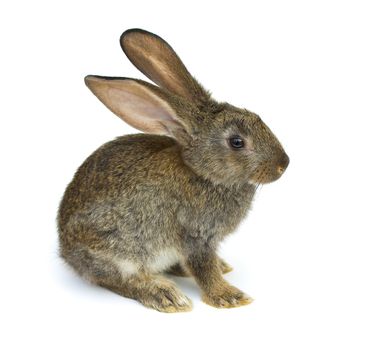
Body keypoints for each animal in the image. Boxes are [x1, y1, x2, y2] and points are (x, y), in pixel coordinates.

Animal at [56, 28, 288, 314]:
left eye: (258, 117)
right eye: (237, 142)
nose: (283, 164)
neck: (202, 173)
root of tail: (66, 252)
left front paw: (221, 275)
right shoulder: (195, 235)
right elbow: (203, 268)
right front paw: (230, 297)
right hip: (117, 249)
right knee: (118, 280)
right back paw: (165, 294)